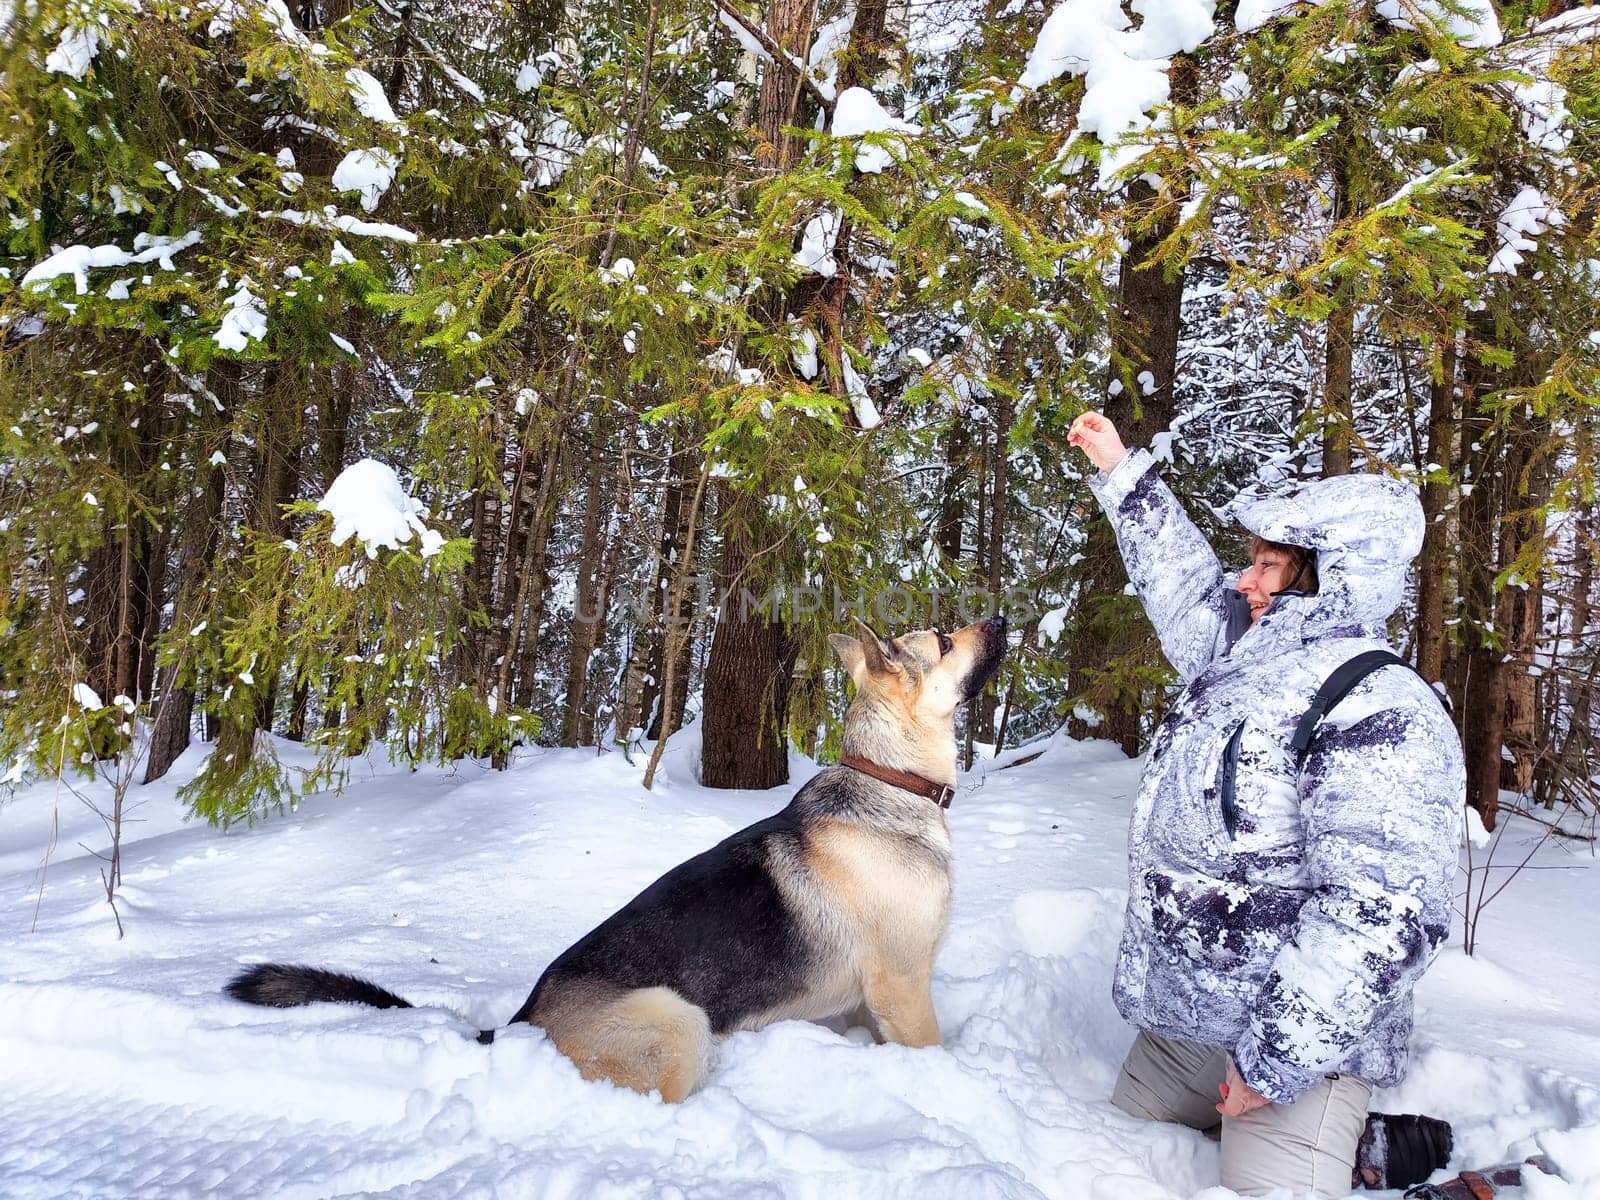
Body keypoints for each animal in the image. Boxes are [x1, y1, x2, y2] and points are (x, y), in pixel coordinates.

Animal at [228, 620, 998, 1100]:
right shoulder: (901, 988)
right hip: (679, 1018)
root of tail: (520, 1023)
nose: (997, 617)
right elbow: (930, 1049)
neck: (889, 779)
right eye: (944, 637)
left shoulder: (868, 1001)